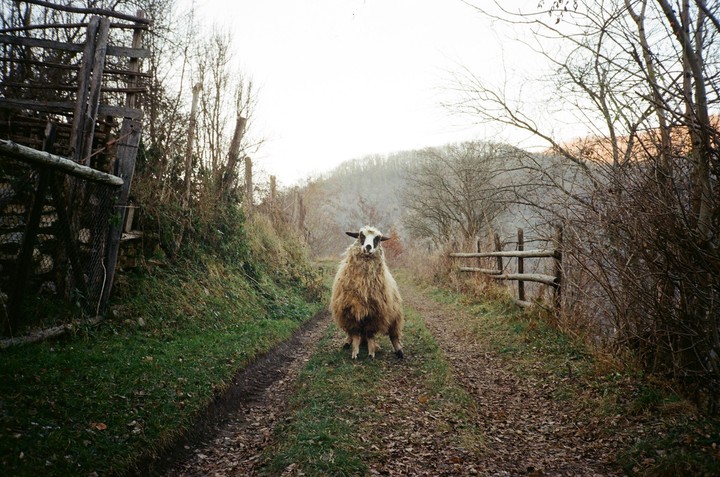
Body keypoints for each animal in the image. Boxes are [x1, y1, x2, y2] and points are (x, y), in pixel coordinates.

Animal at [330, 225, 404, 359]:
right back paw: (347, 342)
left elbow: (370, 334)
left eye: (378, 239)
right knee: (352, 333)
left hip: (395, 314)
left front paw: (371, 352)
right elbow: (355, 334)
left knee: (393, 334)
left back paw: (399, 350)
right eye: (361, 235)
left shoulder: (375, 313)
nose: (368, 247)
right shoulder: (350, 312)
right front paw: (355, 352)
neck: (363, 284)